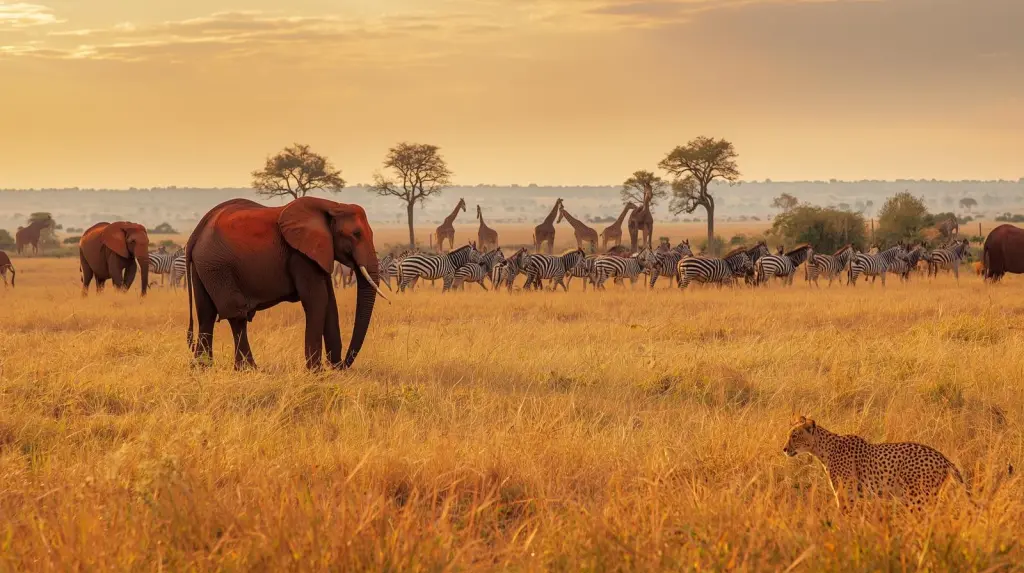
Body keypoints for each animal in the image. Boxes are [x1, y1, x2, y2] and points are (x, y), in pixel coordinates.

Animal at [185, 197, 389, 371]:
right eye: (356, 234)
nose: (344, 364)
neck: (332, 205)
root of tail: (196, 233)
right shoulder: (301, 255)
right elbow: (318, 300)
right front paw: (317, 372)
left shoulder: (319, 253)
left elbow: (330, 302)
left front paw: (333, 369)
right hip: (217, 266)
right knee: (236, 314)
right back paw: (248, 369)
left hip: (205, 267)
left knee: (206, 314)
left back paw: (203, 368)